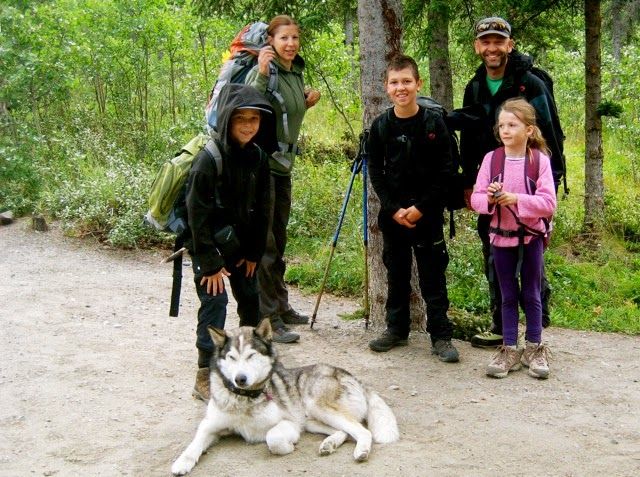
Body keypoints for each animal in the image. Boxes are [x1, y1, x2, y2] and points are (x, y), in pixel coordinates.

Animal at [172, 320, 398, 472]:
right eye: (232, 357)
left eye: (251, 355)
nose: (240, 379)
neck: (245, 398)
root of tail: (353, 377)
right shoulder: (209, 425)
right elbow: (193, 444)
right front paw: (182, 462)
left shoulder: (290, 423)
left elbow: (272, 438)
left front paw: (287, 447)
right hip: (312, 421)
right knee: (345, 432)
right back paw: (329, 444)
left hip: (318, 408)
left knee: (362, 431)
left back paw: (361, 451)